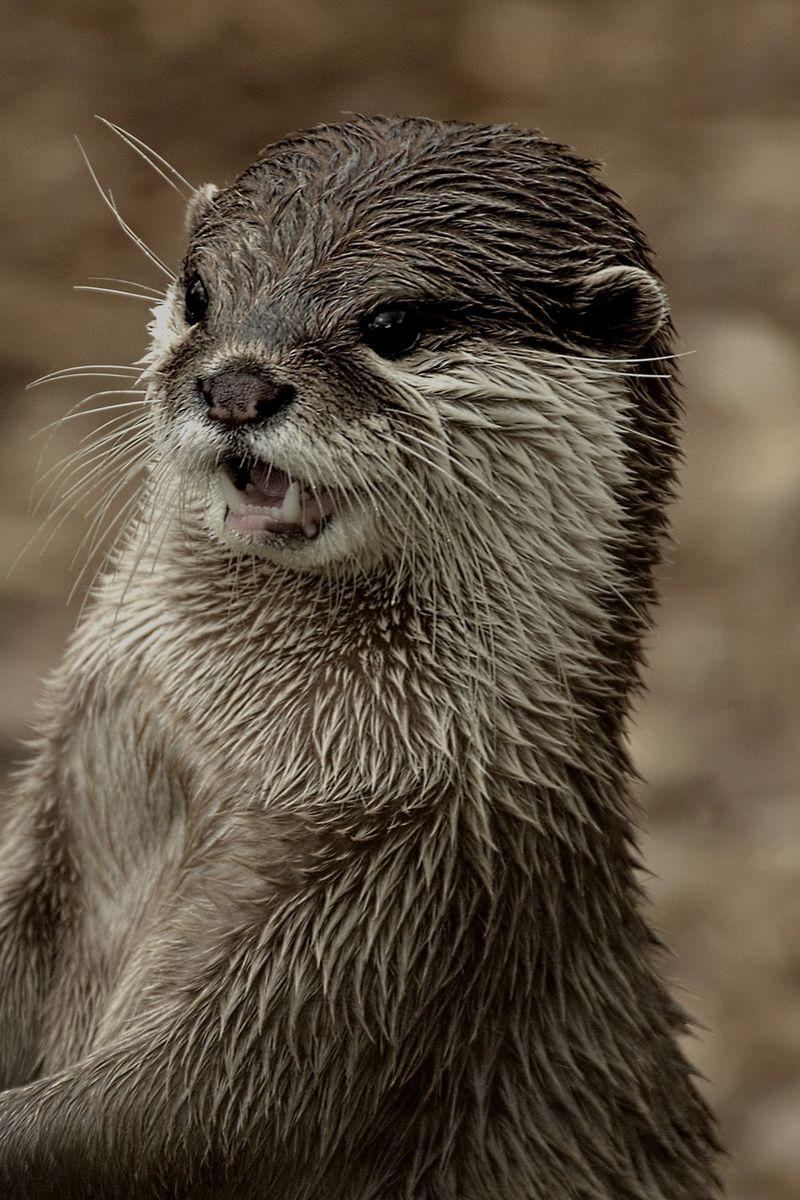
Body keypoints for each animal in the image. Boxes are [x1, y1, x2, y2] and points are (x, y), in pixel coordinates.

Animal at [0, 116, 719, 1199]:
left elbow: (190, 1114)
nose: (237, 386)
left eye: (393, 323)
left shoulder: (408, 908)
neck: (237, 750)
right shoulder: (63, 792)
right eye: (200, 291)